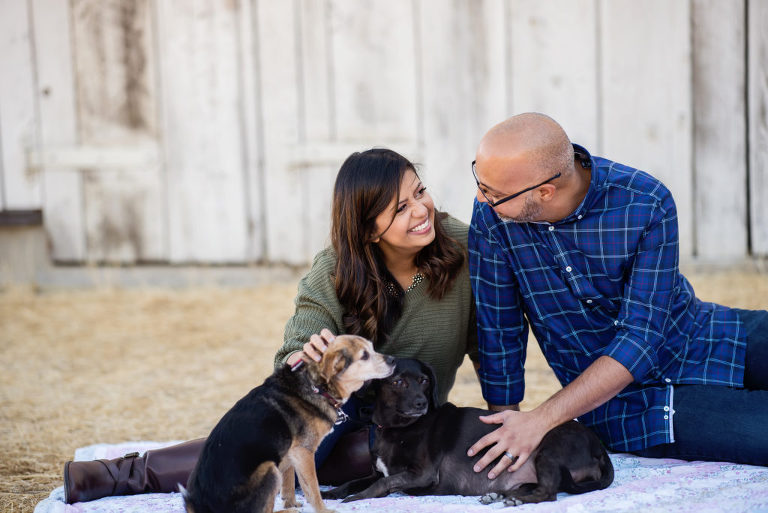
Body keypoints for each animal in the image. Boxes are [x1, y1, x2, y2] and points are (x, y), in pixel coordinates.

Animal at [182, 334, 392, 512]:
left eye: (372, 348)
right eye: (364, 356)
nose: (392, 359)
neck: (315, 386)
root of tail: (200, 506)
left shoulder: (292, 452)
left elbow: (289, 481)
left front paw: (291, 502)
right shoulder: (304, 452)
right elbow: (312, 488)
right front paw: (322, 510)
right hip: (269, 469)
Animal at [328, 358, 616, 506]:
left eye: (424, 380)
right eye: (397, 382)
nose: (421, 404)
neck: (399, 429)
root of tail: (599, 448)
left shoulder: (423, 474)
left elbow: (383, 483)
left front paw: (357, 497)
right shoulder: (378, 471)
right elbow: (357, 480)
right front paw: (333, 492)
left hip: (549, 450)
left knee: (550, 493)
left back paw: (514, 499)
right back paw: (504, 494)